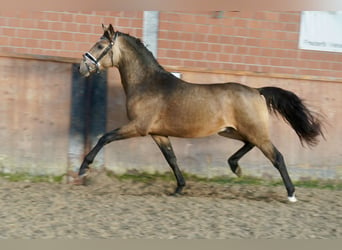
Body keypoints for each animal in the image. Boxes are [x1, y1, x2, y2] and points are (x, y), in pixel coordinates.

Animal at [78, 24, 324, 202]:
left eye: (100, 46)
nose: (82, 68)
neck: (147, 83)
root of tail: (257, 91)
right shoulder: (158, 133)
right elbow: (171, 159)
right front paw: (179, 188)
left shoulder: (138, 127)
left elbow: (105, 137)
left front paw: (83, 168)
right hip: (231, 131)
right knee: (250, 145)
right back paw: (235, 167)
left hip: (253, 132)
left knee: (277, 157)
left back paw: (291, 194)